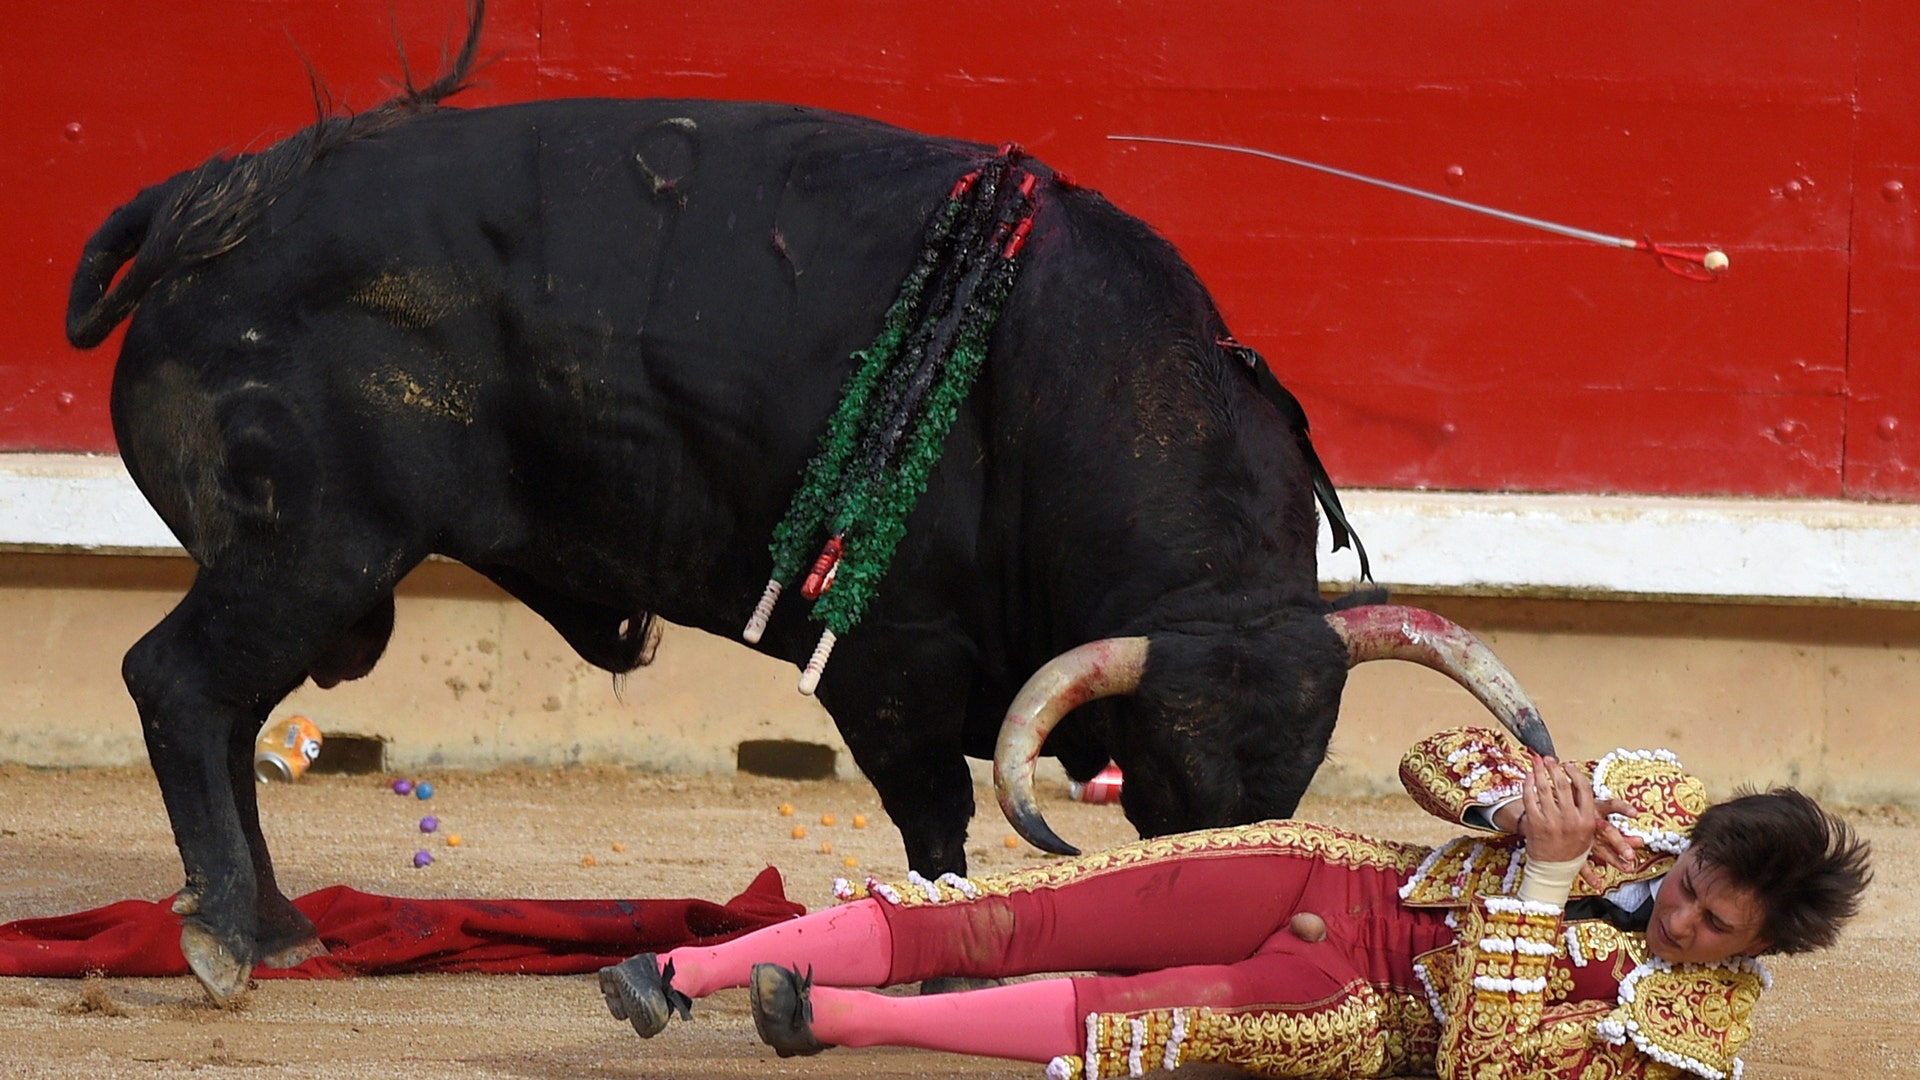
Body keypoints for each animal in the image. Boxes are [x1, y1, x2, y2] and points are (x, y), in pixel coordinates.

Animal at [65, 1, 1554, 1000]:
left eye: (1298, 773)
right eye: (1176, 777)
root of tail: (211, 204)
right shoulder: (894, 662)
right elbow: (934, 816)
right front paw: (949, 959)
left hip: (317, 568)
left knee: (227, 705)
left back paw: (275, 925)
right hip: (308, 544)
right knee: (178, 683)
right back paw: (230, 938)